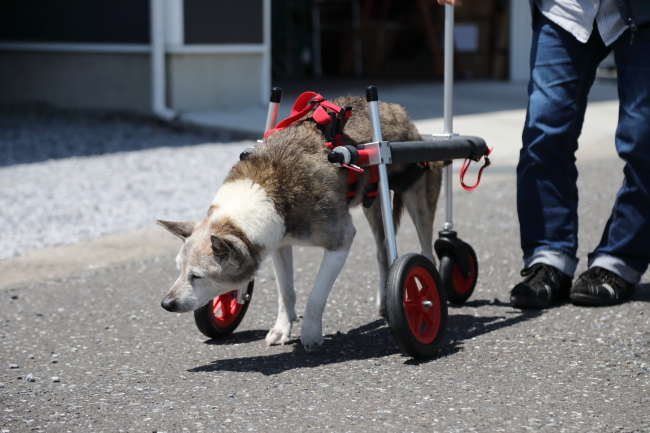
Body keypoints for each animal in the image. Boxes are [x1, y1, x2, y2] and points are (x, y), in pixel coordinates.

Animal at [157, 94, 440, 352]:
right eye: (179, 270)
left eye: (197, 276)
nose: (165, 304)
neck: (268, 189)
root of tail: (396, 109)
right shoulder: (278, 244)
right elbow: (286, 292)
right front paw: (282, 328)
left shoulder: (341, 240)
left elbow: (316, 295)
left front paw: (311, 334)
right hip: (374, 201)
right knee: (382, 252)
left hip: (417, 195)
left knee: (426, 250)